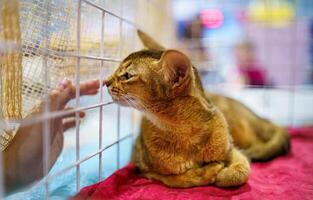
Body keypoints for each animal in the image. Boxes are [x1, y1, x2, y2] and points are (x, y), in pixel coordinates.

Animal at [103, 29, 288, 188]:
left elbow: (242, 172)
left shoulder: (232, 150)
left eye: (127, 75)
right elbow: (180, 179)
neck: (184, 131)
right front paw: (209, 171)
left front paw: (223, 174)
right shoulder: (143, 167)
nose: (105, 82)